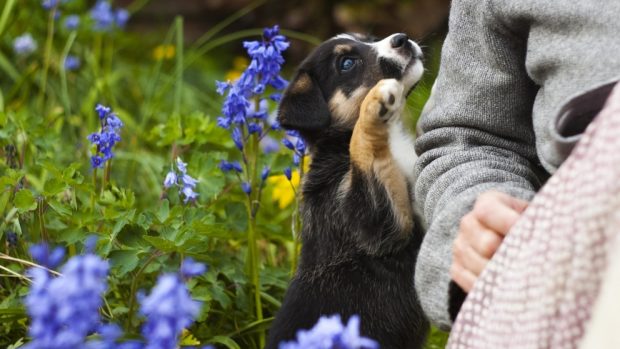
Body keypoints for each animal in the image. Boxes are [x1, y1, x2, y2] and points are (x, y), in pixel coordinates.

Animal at [266, 33, 432, 348]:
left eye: (369, 39)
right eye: (346, 63)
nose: (402, 39)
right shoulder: (376, 225)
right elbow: (363, 146)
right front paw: (375, 103)